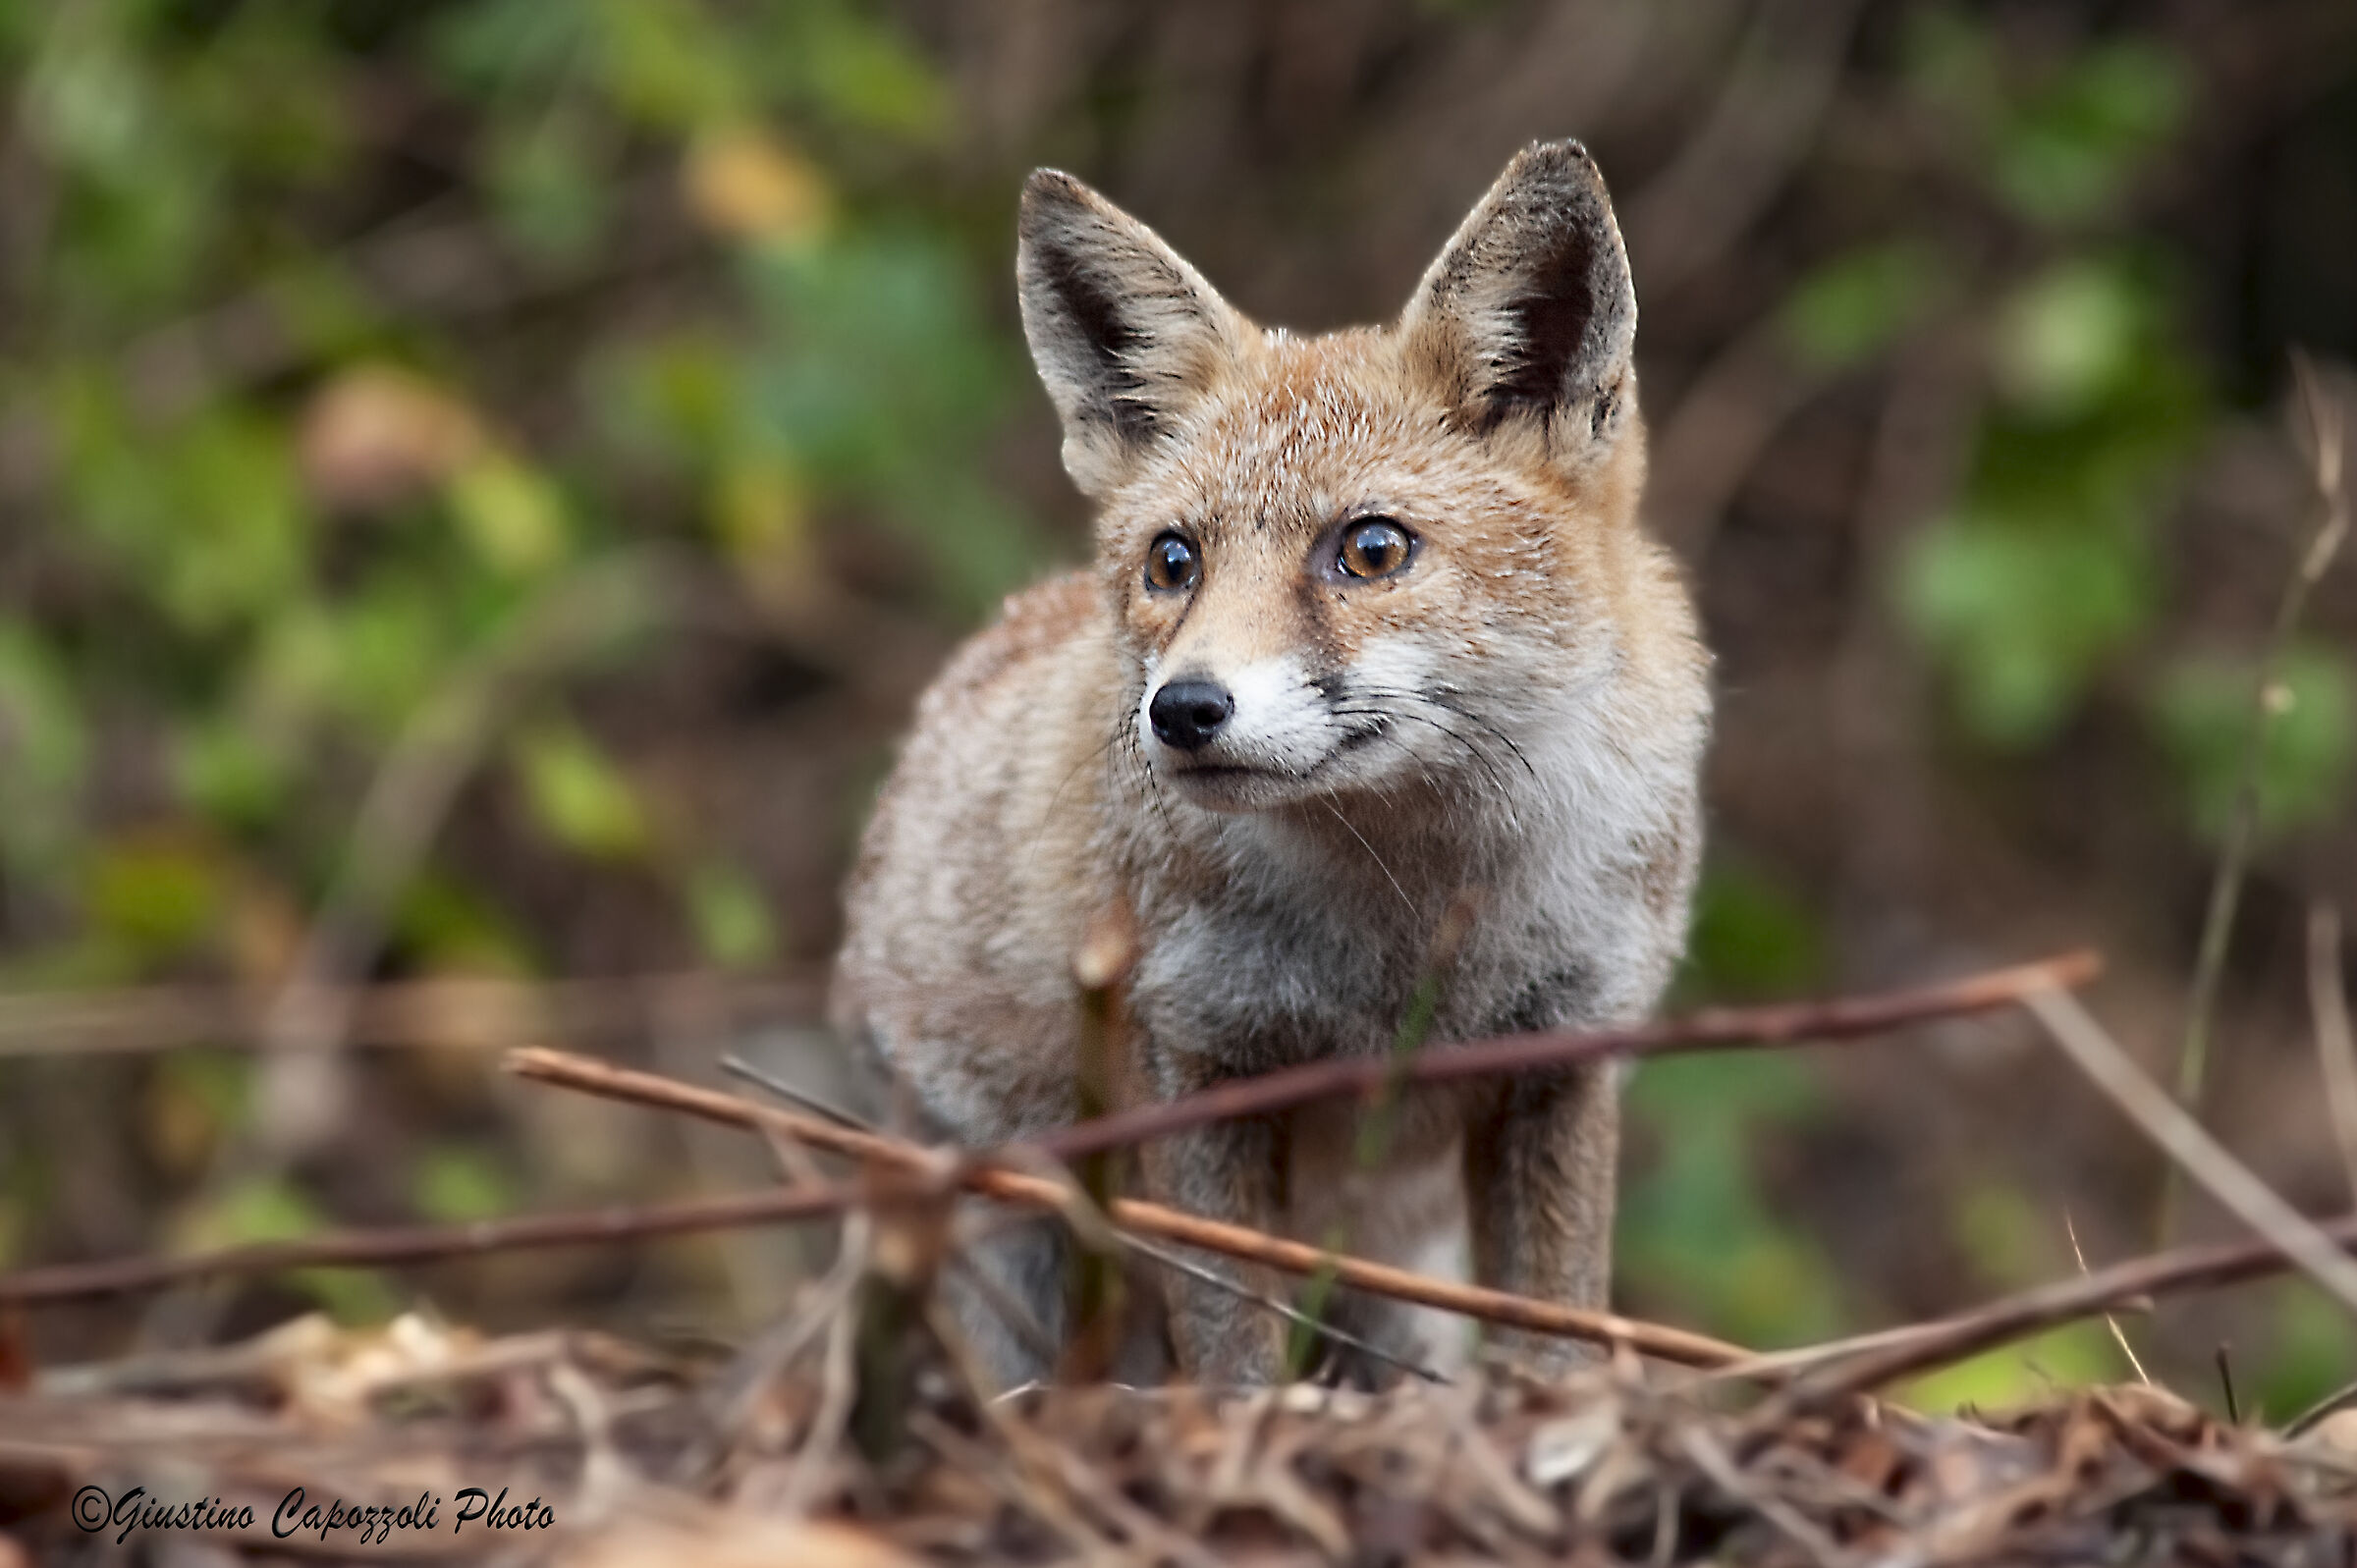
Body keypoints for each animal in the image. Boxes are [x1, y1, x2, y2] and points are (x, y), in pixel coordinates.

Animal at [831, 139, 1711, 1389]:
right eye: (1173, 562)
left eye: (1372, 550)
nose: (1184, 709)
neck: (1412, 925)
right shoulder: (1196, 1061)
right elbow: (1234, 1356)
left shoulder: (1561, 1060)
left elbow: (1557, 1332)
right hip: (1015, 1238)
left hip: (1393, 1272)